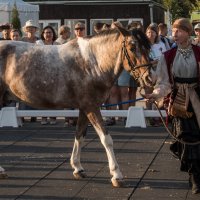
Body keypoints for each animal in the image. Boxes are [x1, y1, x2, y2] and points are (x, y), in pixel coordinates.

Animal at [0, 25, 152, 186]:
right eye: (132, 47)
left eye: (148, 47)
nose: (149, 78)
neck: (93, 63)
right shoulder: (91, 107)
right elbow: (106, 139)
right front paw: (116, 175)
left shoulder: (84, 108)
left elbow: (79, 135)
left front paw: (78, 168)